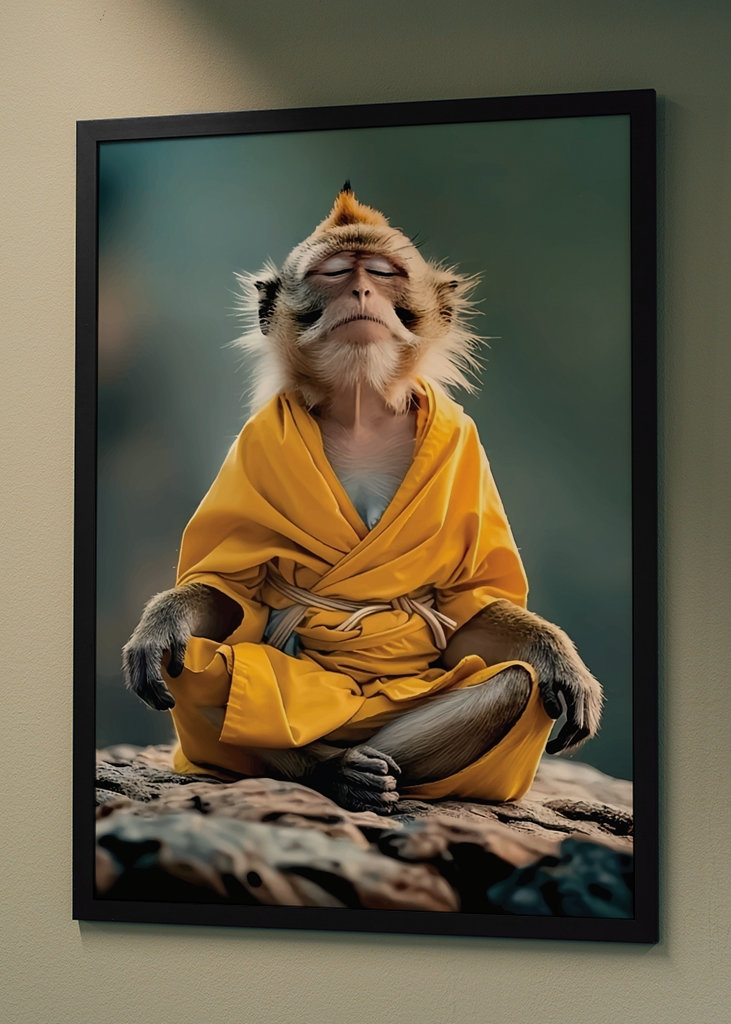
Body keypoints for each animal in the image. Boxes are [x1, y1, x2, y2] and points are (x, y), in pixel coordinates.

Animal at [122, 183, 603, 815]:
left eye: (381, 272)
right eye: (332, 273)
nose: (360, 291)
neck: (359, 407)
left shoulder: (466, 444)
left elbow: (471, 608)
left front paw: (559, 658)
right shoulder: (254, 443)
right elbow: (229, 592)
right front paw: (161, 625)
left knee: (516, 684)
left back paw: (371, 771)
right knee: (203, 664)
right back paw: (333, 773)